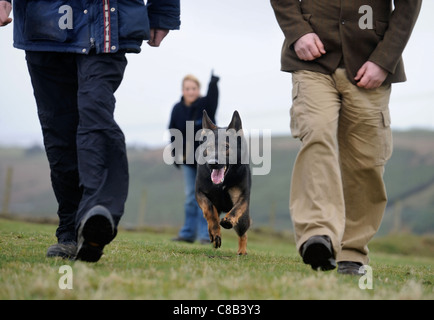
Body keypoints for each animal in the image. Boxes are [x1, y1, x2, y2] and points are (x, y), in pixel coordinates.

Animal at [194, 110, 251, 255]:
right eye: (208, 147)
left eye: (225, 146)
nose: (212, 163)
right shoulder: (200, 193)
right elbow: (209, 210)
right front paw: (215, 233)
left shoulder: (242, 197)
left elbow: (236, 209)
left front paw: (228, 220)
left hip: (243, 221)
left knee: (243, 233)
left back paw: (242, 251)